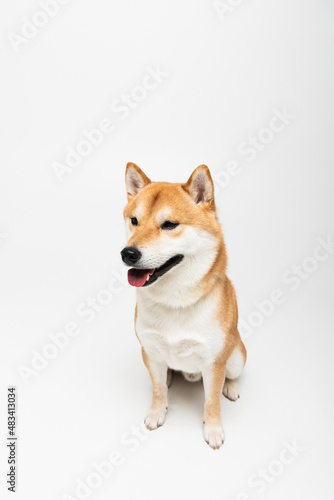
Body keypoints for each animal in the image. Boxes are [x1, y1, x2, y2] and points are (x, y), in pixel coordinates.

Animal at [121, 161, 247, 450]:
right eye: (134, 220)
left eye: (169, 225)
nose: (128, 253)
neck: (174, 302)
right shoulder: (149, 349)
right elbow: (157, 390)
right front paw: (157, 412)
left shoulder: (214, 362)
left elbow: (211, 401)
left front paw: (213, 430)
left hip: (236, 356)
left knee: (232, 374)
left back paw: (231, 387)